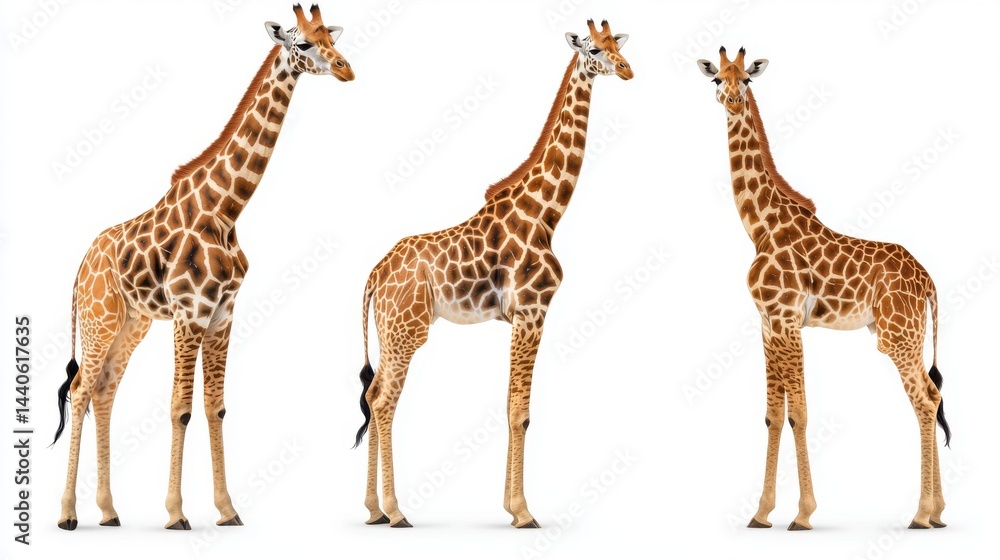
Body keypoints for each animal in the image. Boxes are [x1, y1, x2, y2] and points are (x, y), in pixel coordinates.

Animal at [51, 4, 354, 531]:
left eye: (331, 38)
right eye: (303, 43)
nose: (345, 69)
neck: (227, 210)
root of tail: (82, 263)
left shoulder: (223, 314)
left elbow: (216, 407)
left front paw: (227, 509)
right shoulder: (190, 312)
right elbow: (180, 408)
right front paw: (176, 514)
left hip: (132, 322)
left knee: (105, 391)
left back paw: (108, 511)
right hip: (99, 317)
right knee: (81, 389)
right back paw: (68, 515)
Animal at [351, 20, 632, 528]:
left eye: (617, 46)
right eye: (595, 50)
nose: (627, 69)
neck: (547, 215)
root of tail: (375, 274)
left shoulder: (521, 317)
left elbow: (508, 406)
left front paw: (509, 507)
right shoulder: (533, 311)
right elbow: (521, 411)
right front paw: (524, 512)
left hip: (389, 329)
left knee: (374, 393)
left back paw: (373, 510)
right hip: (407, 331)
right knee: (383, 401)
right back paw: (397, 511)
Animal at [698, 47, 952, 530]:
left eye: (748, 79)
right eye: (717, 78)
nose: (733, 99)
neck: (759, 228)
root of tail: (928, 279)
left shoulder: (787, 318)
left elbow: (799, 412)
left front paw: (802, 513)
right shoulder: (767, 323)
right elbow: (773, 414)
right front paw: (761, 513)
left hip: (899, 336)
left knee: (926, 400)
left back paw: (921, 514)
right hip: (903, 335)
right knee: (934, 395)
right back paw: (940, 513)